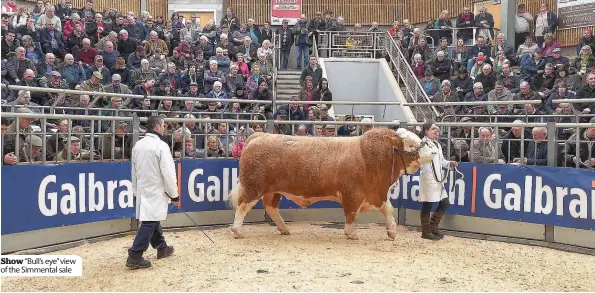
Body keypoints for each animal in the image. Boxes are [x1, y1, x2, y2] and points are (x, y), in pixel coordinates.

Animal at [228, 127, 434, 240]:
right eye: (410, 145)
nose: (432, 152)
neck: (369, 158)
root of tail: (259, 136)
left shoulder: (377, 194)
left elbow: (388, 210)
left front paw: (392, 232)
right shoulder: (353, 195)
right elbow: (351, 215)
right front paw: (351, 234)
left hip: (273, 190)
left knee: (270, 207)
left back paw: (284, 228)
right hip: (253, 186)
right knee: (242, 206)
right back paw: (237, 231)